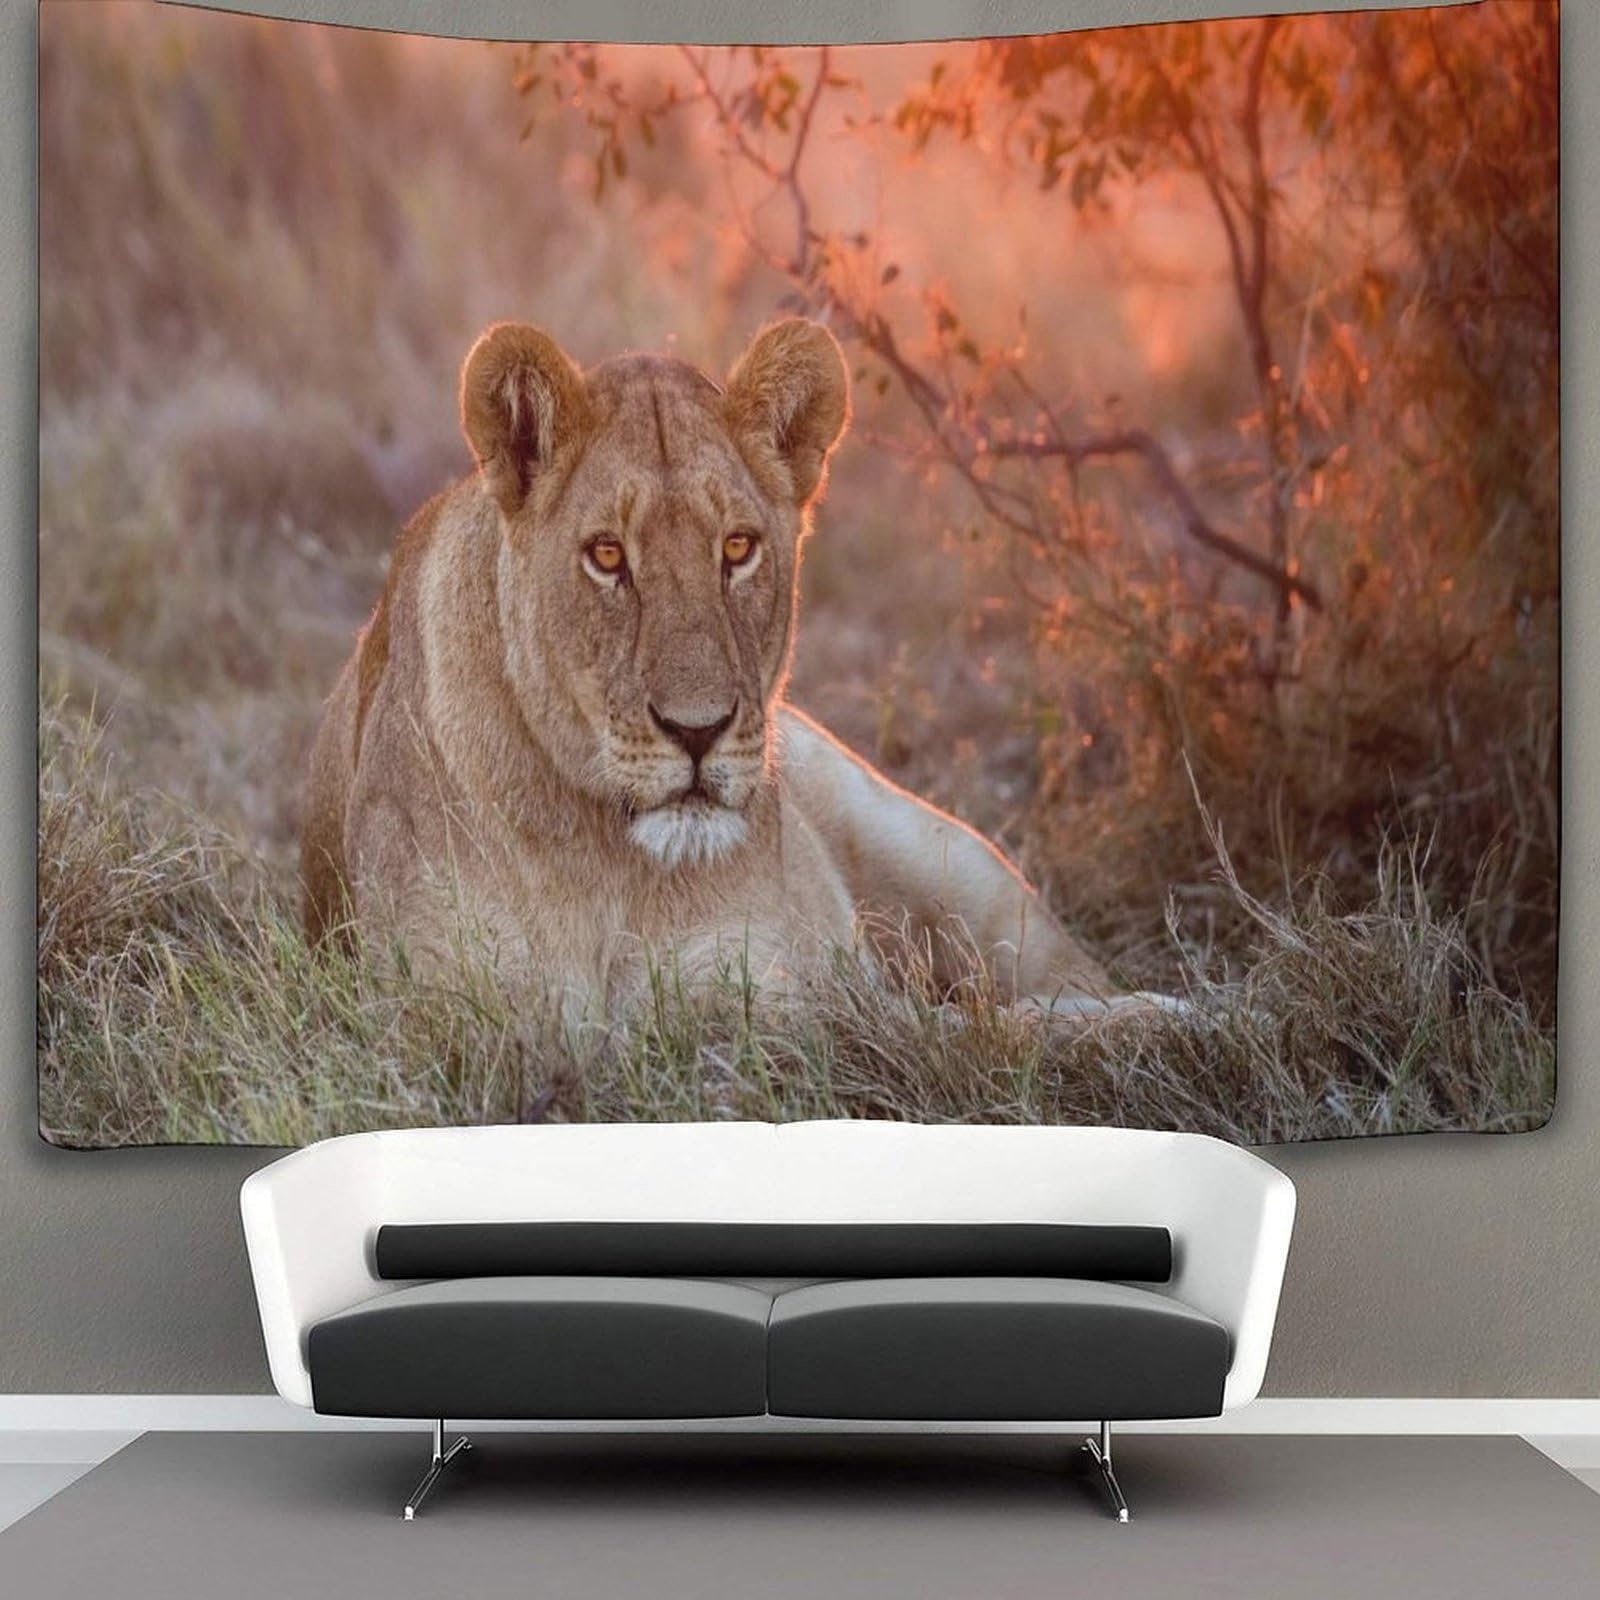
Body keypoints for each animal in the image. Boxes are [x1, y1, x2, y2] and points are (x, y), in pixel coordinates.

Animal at [301, 318, 1131, 1020]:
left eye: (737, 548)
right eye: (607, 555)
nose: (697, 732)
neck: (611, 867)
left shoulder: (772, 989)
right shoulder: (448, 1006)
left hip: (948, 863)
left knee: (1064, 987)